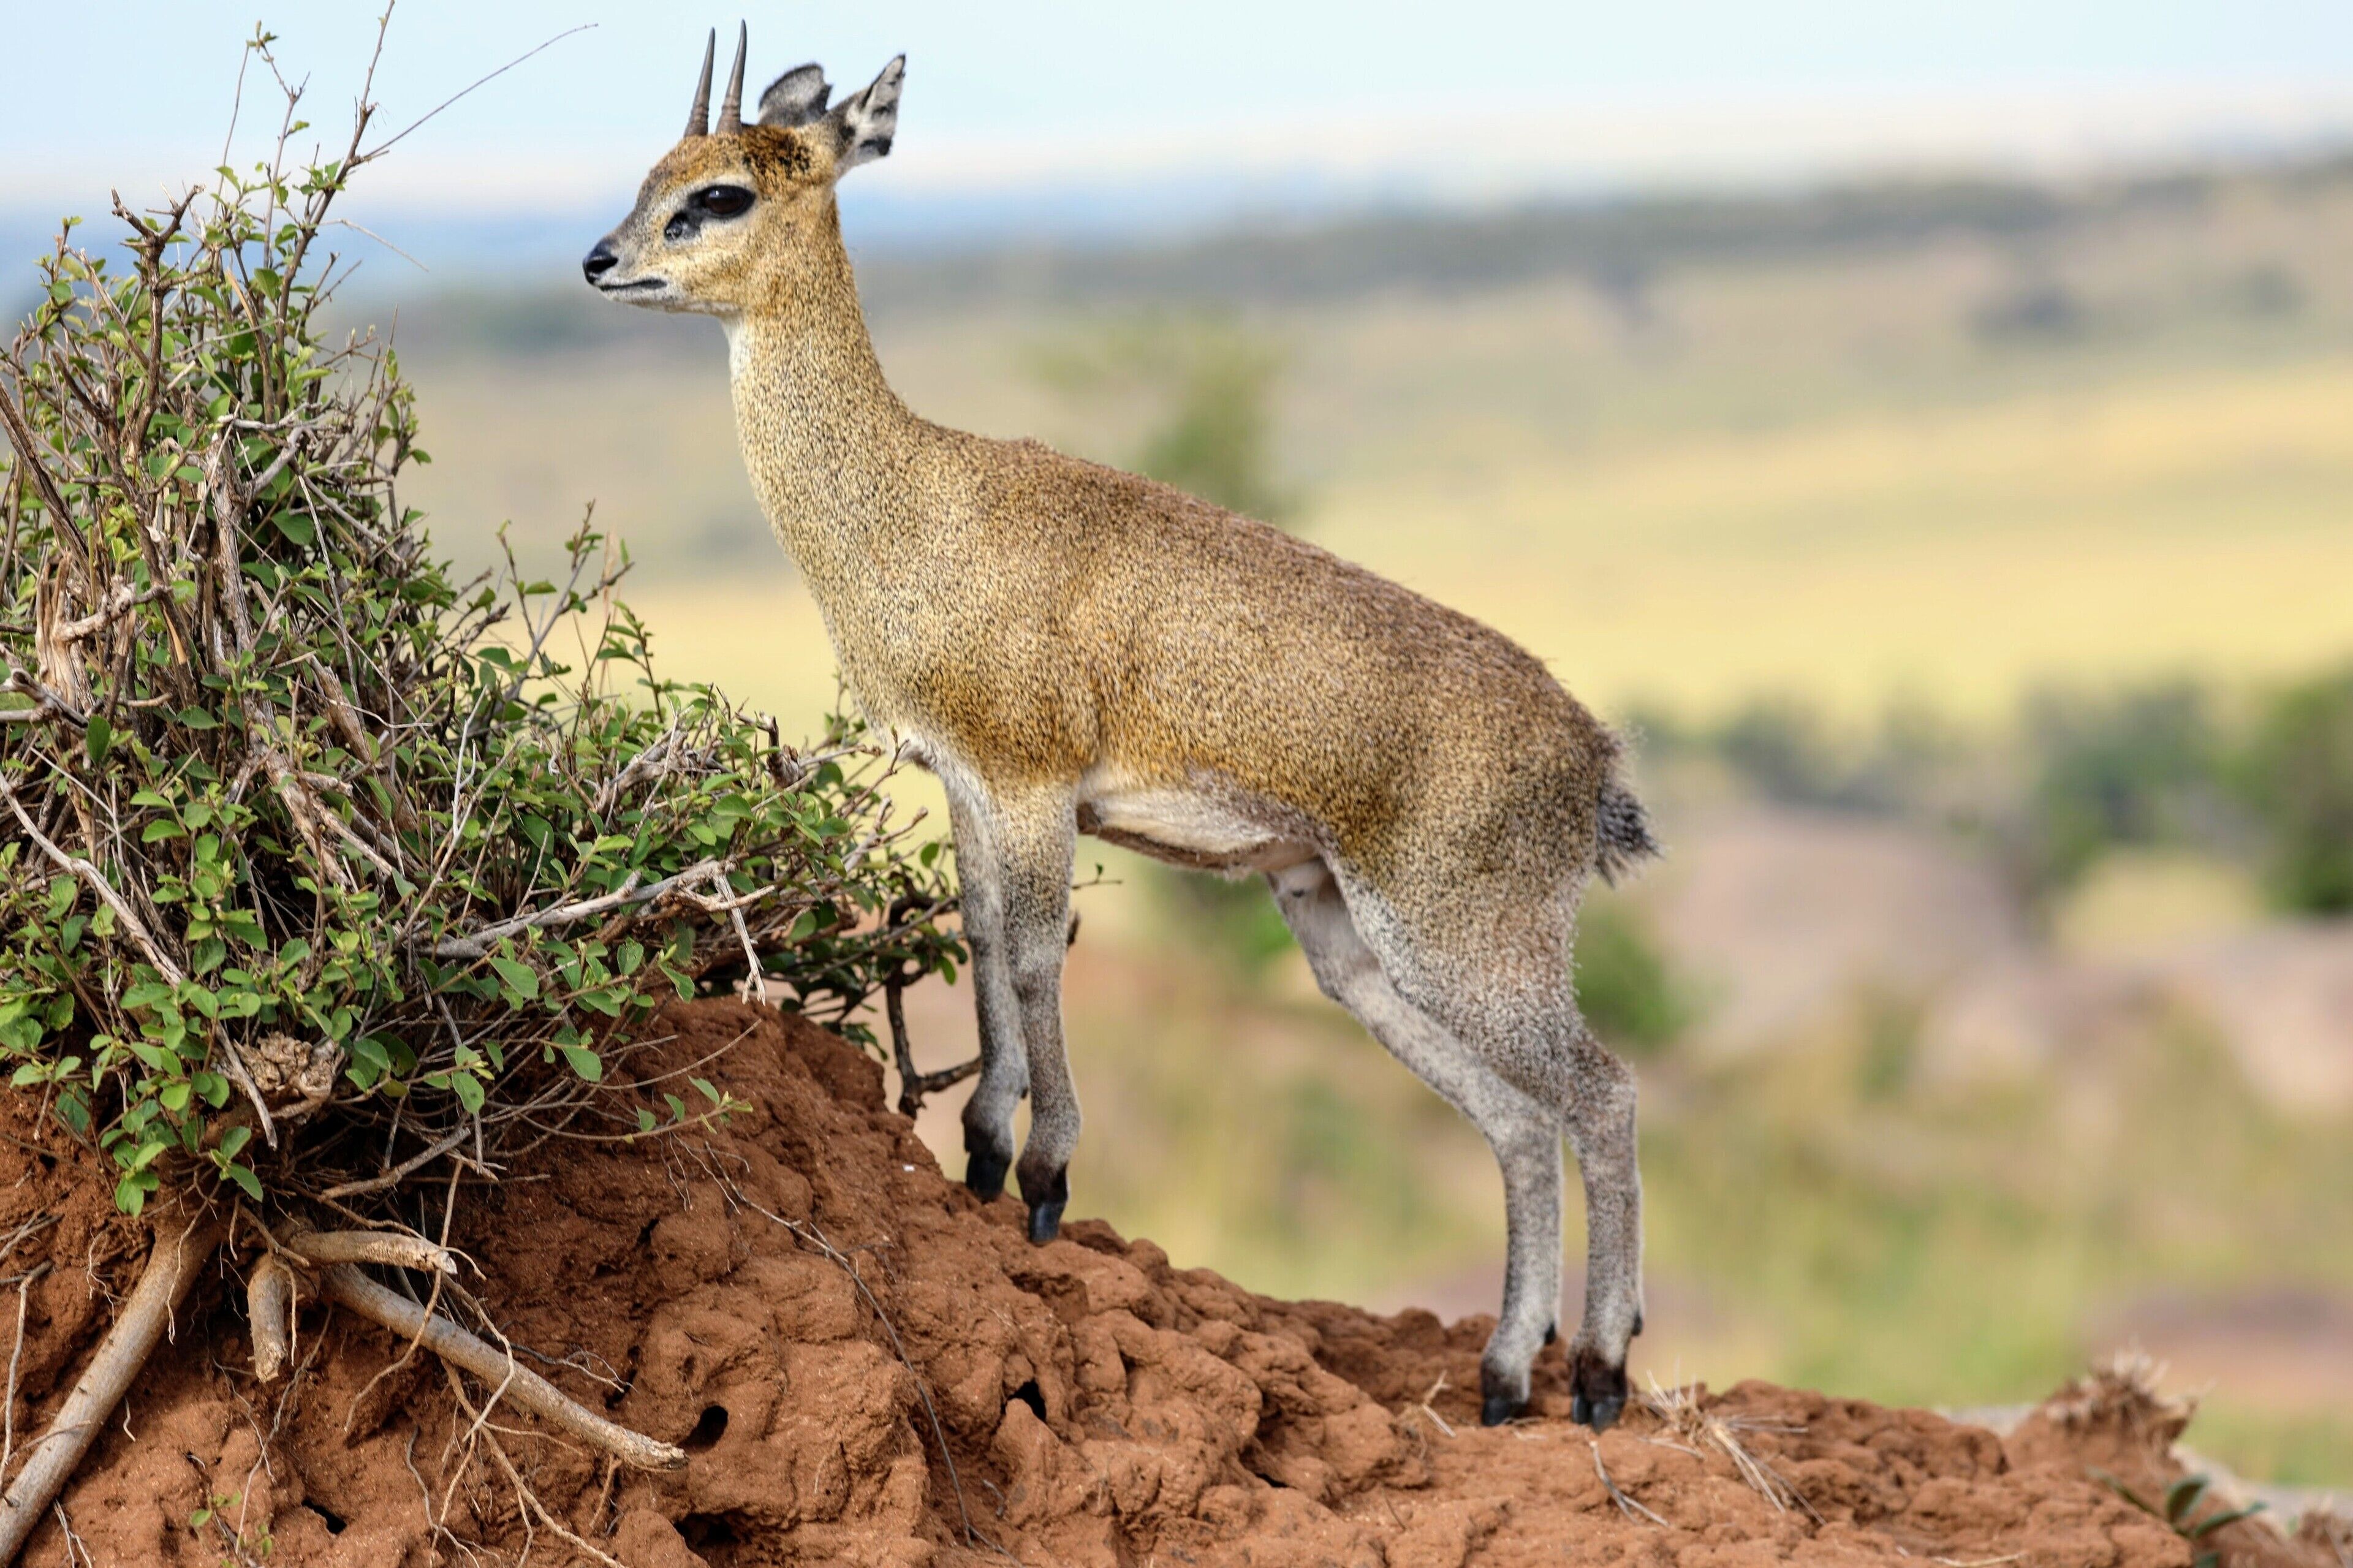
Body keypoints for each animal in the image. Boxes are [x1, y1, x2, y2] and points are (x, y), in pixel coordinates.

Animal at [584, 27, 1661, 1429]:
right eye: (657, 172)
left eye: (720, 193)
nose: (601, 259)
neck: (916, 503)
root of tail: (1594, 762)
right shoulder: (969, 783)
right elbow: (984, 942)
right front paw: (984, 1151)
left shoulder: (1038, 783)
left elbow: (1041, 957)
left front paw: (1046, 1172)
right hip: (1352, 948)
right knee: (1526, 1125)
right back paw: (1501, 1374)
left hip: (1468, 944)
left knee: (1606, 1093)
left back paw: (1600, 1373)